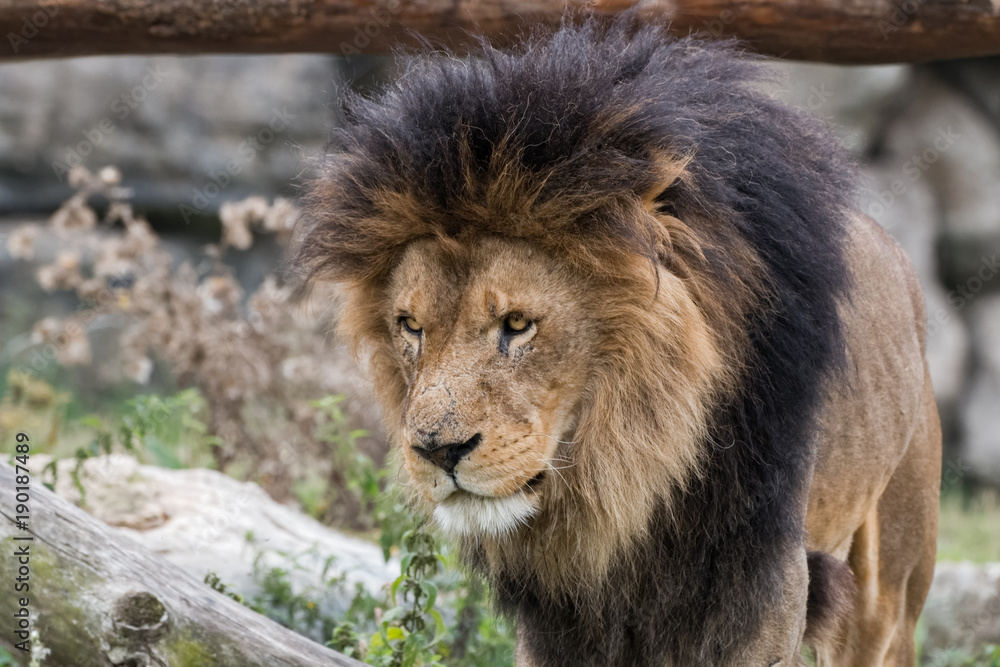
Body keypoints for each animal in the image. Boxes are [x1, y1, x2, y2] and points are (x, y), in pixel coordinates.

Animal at [293, 18, 941, 667]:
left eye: (518, 324)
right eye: (411, 327)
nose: (437, 452)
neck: (628, 474)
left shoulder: (761, 590)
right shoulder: (560, 621)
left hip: (890, 587)